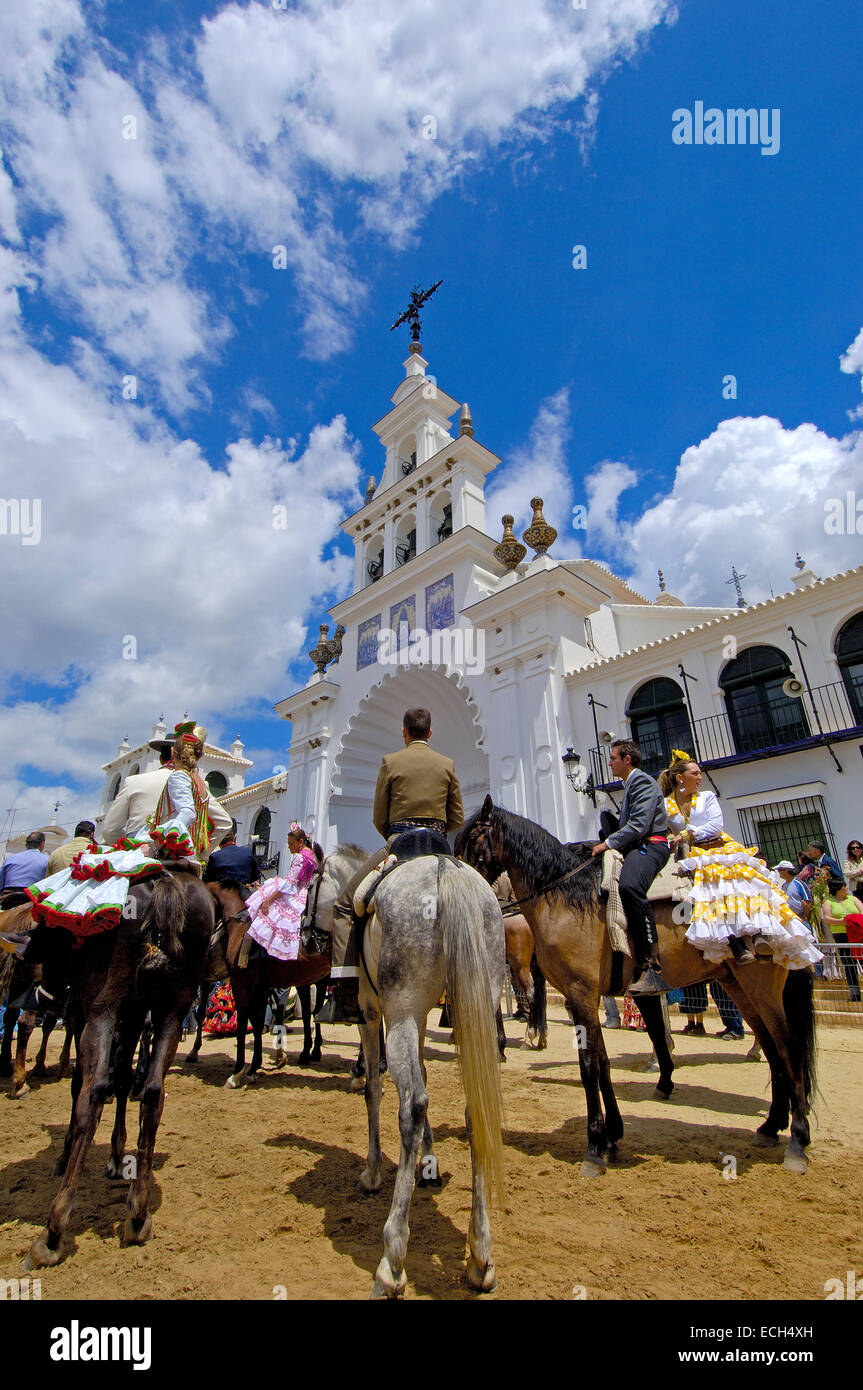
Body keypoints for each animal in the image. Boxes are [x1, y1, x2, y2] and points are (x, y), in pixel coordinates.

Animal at [25, 867, 214, 1273]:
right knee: (154, 1091)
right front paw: (115, 1155)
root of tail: (161, 883)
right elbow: (126, 1077)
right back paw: (139, 1213)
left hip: (103, 1005)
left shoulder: (86, 1011)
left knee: (93, 1093)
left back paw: (52, 1232)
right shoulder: (135, 1012)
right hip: (172, 1007)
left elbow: (84, 1083)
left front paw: (66, 1154)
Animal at [351, 850, 505, 1295]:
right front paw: (429, 1161)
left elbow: (374, 1087)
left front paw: (372, 1171)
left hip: (400, 1007)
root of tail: (444, 868)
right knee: (476, 1111)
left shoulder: (370, 1007)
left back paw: (392, 1260)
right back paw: (480, 1254)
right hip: (478, 999)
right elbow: (421, 1068)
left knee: (412, 1105)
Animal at [453, 800, 817, 1178]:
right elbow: (603, 1062)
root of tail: (781, 900)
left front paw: (594, 1147)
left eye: (475, 838)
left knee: (789, 1049)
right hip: (739, 986)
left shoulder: (582, 993)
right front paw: (612, 1137)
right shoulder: (580, 998)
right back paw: (770, 1127)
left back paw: (797, 1142)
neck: (565, 897)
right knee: (773, 1052)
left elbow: (590, 1067)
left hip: (762, 986)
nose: (467, 890)